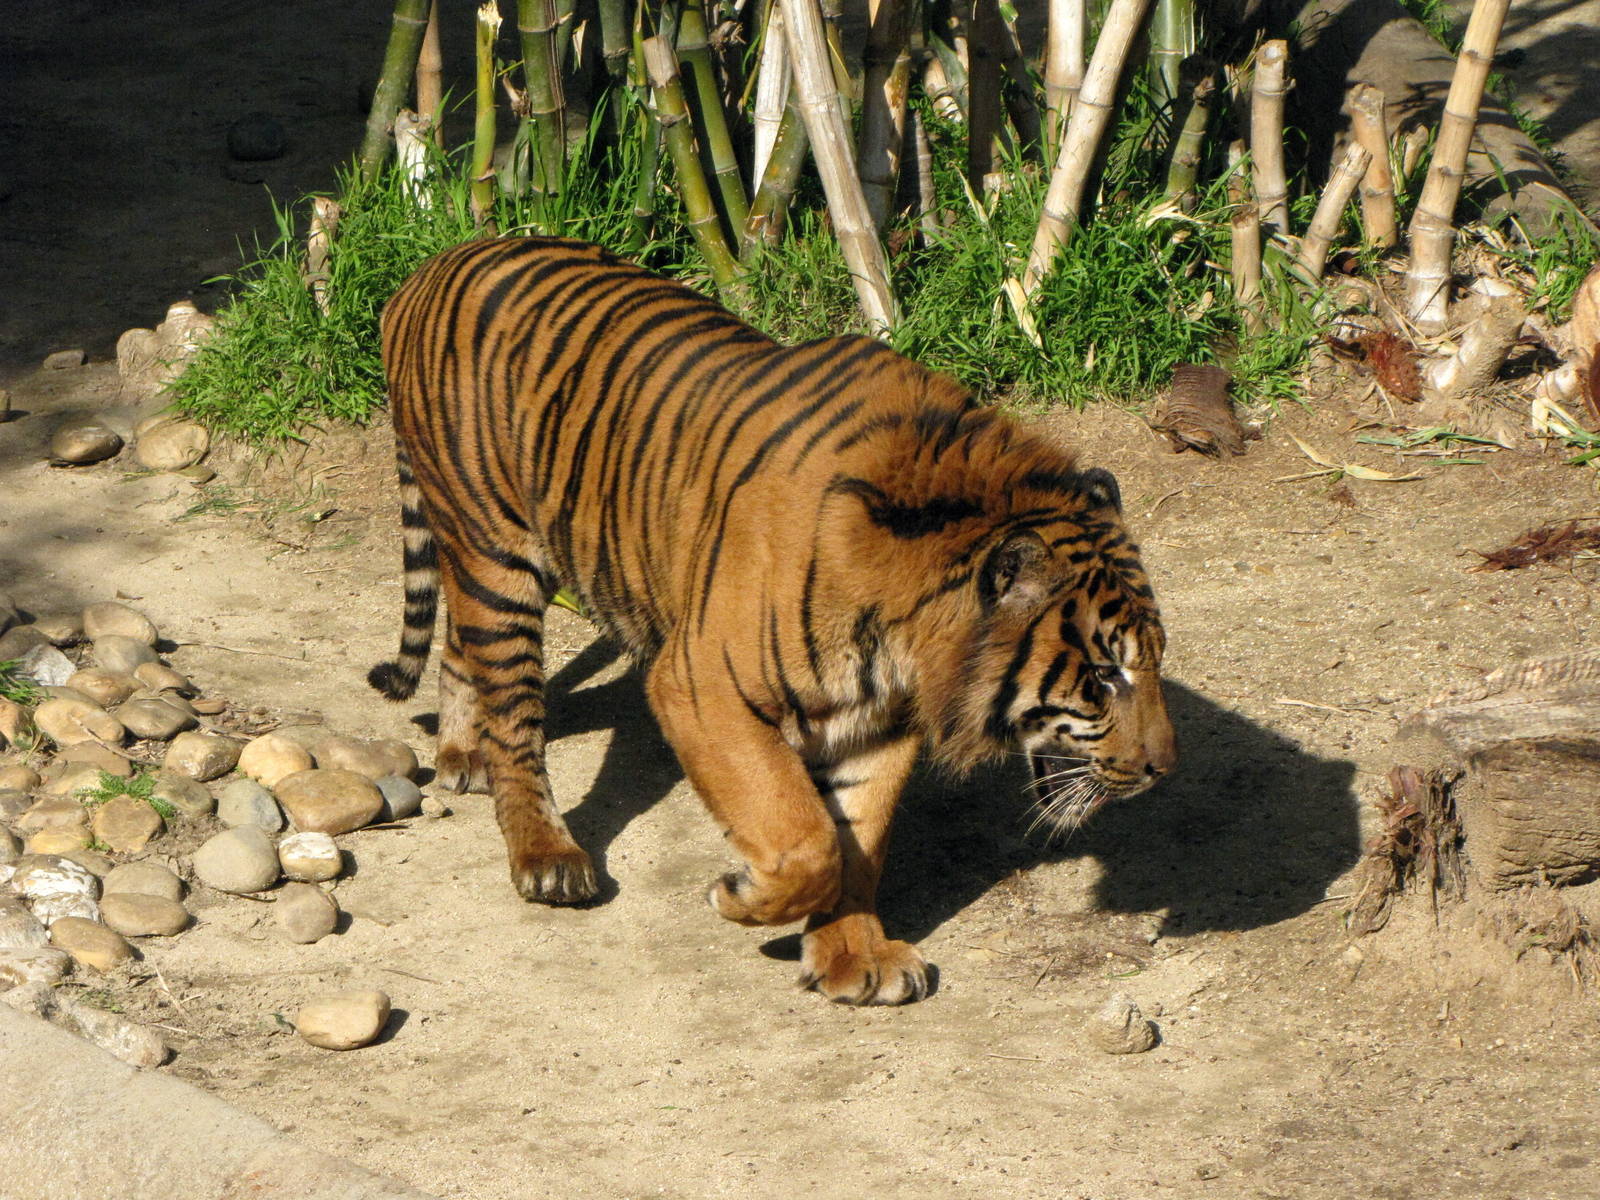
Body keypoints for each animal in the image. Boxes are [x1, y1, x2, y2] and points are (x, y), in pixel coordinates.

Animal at [369, 235, 1176, 1006]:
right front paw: (744, 896)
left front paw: (852, 959)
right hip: (497, 553)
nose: (1162, 770)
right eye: (1103, 675)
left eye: (1154, 660)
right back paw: (545, 855)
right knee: (514, 710)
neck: (906, 632)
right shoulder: (701, 686)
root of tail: (431, 266)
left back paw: (461, 756)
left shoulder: (878, 723)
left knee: (460, 645)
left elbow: (857, 844)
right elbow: (804, 833)